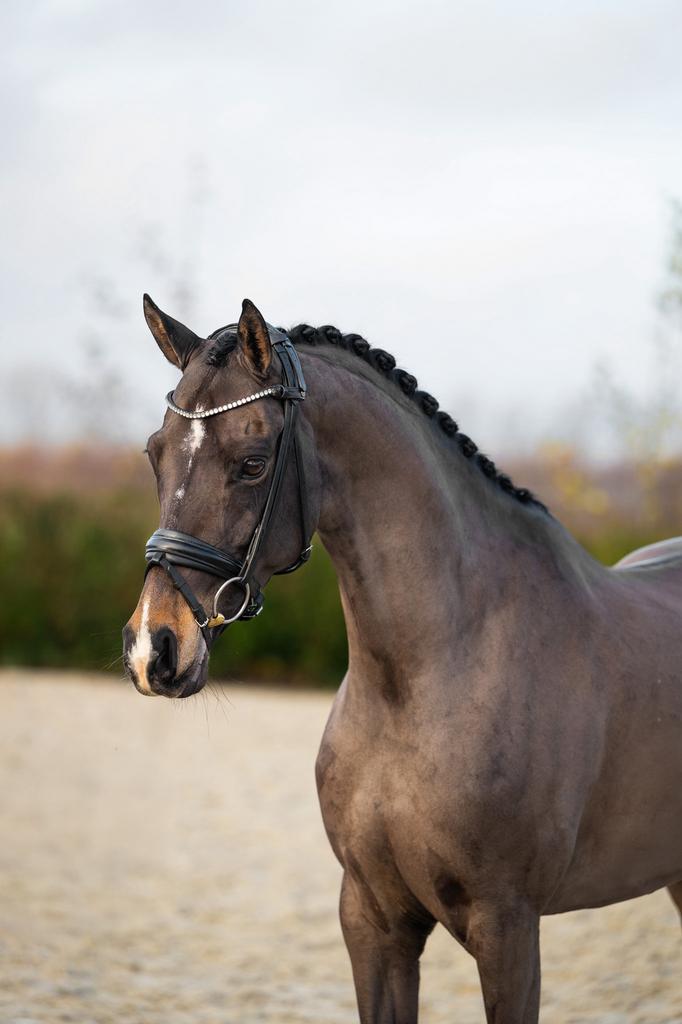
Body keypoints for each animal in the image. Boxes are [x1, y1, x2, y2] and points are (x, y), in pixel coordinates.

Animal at [124, 295, 682, 1023]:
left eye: (252, 461)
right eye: (155, 454)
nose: (153, 648)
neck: (425, 681)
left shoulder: (508, 927)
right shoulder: (372, 918)